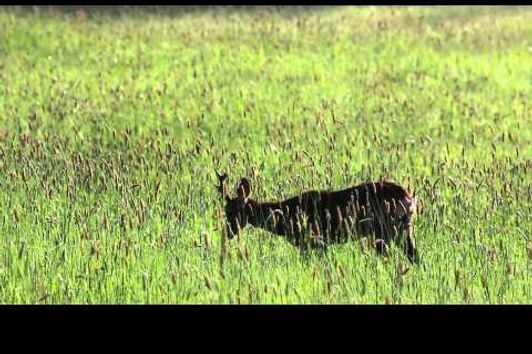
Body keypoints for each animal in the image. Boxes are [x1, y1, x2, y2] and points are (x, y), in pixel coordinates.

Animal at [216, 170, 420, 264]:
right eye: (225, 210)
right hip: (404, 229)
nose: (227, 232)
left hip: (385, 231)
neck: (287, 214)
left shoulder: (314, 240)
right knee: (414, 255)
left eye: (234, 211)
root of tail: (409, 198)